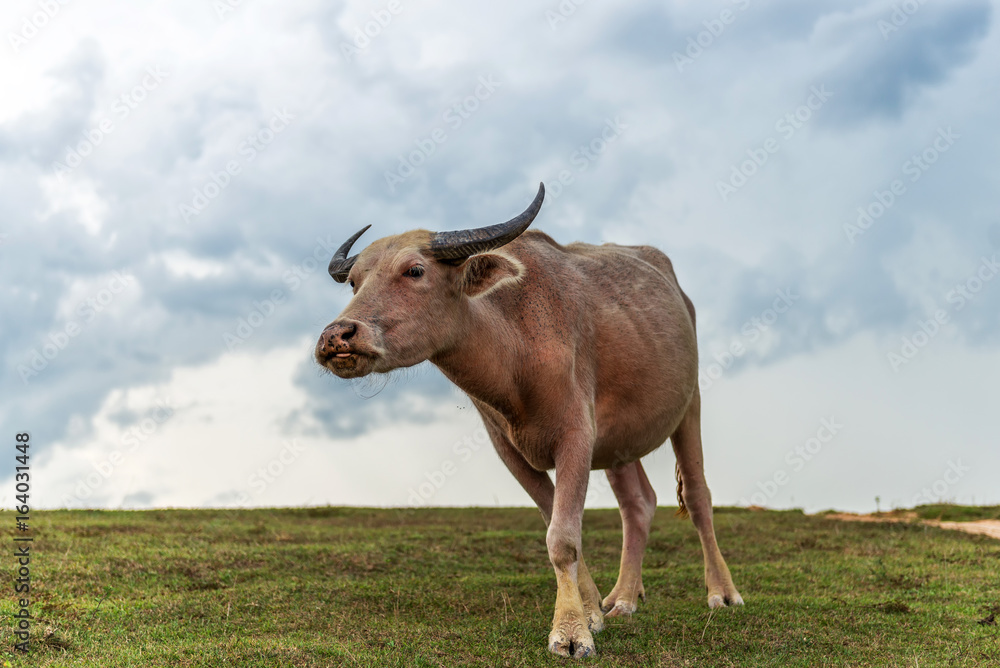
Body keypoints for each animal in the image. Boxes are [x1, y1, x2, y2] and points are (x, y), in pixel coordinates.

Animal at [314, 183, 744, 656]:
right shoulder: (510, 450)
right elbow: (556, 524)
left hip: (690, 405)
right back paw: (624, 599)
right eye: (354, 281)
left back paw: (722, 593)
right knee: (639, 504)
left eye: (414, 270)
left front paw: (571, 633)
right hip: (619, 445)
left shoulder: (576, 434)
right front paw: (591, 614)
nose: (335, 336)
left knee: (699, 496)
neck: (515, 358)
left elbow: (562, 537)